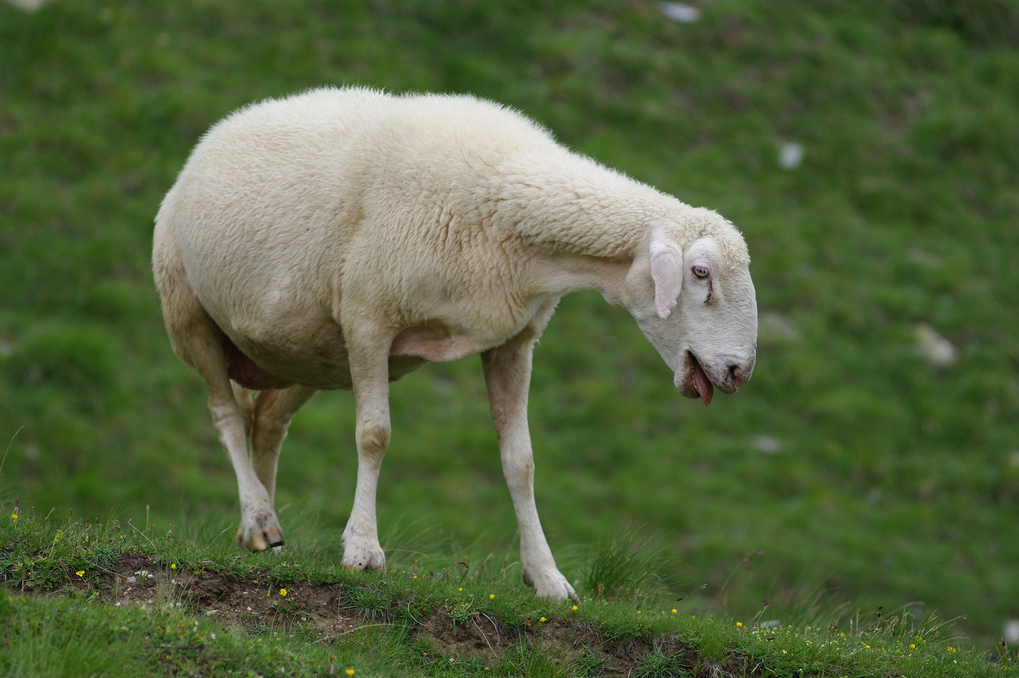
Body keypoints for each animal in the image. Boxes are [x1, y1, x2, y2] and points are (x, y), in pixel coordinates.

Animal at [152, 86, 758, 599]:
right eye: (701, 273)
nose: (739, 372)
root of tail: (222, 128)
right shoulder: (369, 318)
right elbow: (374, 435)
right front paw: (363, 550)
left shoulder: (514, 339)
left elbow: (521, 462)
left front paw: (546, 576)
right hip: (189, 313)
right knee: (226, 415)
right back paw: (258, 515)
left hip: (309, 352)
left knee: (268, 425)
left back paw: (264, 531)